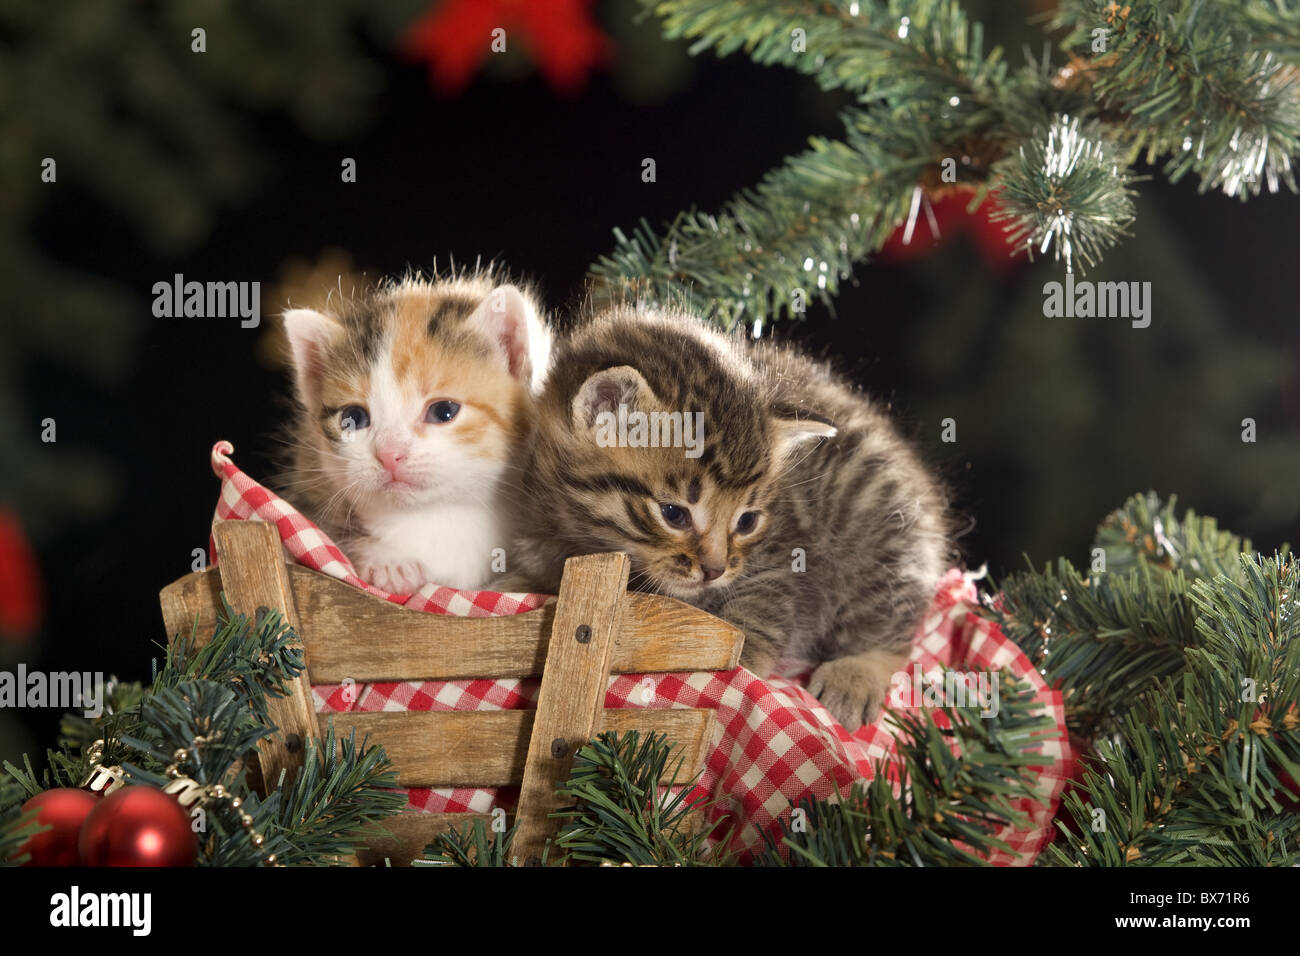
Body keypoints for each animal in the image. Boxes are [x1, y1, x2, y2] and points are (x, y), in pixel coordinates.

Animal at [512, 303, 951, 728]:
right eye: (673, 514)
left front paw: (736, 665)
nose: (714, 570)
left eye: (746, 521)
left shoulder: (781, 558)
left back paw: (855, 675)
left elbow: (758, 612)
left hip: (879, 527)